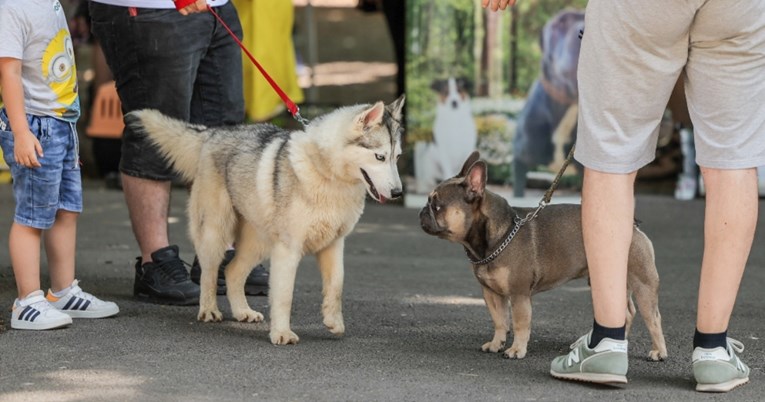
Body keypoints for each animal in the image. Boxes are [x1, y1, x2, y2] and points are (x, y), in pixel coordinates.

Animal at [127, 96, 406, 346]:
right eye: (380, 157)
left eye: (397, 158)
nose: (398, 193)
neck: (327, 174)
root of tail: (213, 133)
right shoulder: (288, 251)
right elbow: (284, 297)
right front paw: (281, 334)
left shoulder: (334, 245)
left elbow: (336, 286)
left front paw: (333, 321)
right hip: (216, 234)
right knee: (209, 274)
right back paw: (209, 310)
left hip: (257, 244)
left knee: (231, 272)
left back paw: (243, 312)